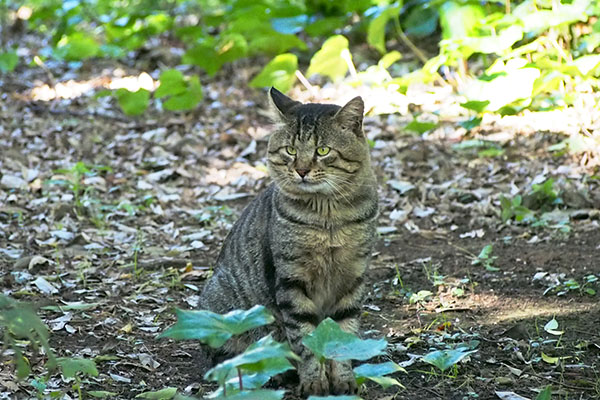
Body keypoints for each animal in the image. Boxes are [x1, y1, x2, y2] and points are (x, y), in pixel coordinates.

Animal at [199, 86, 378, 396]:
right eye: (291, 150)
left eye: (322, 150)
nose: (302, 170)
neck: (328, 218)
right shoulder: (291, 280)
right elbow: (304, 340)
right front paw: (314, 382)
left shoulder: (353, 276)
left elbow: (343, 334)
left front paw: (343, 380)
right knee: (226, 360)